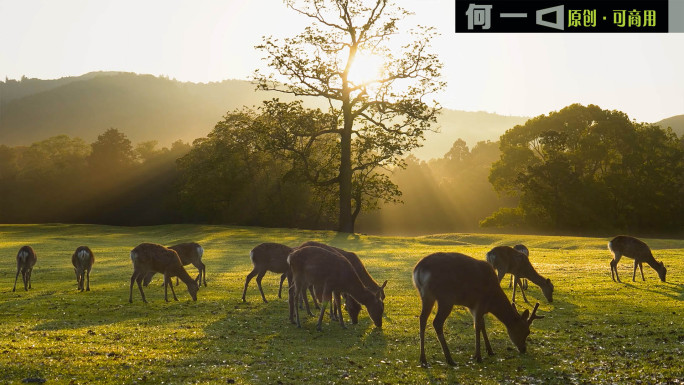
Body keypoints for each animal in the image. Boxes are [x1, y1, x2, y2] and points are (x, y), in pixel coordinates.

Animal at [412, 250, 544, 364]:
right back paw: (450, 359)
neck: (492, 301)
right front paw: (478, 357)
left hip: (425, 295)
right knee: (437, 322)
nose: (523, 349)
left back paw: (423, 359)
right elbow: (477, 326)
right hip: (446, 298)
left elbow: (482, 325)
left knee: (422, 318)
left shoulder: (473, 307)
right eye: (526, 331)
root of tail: (418, 270)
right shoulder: (479, 303)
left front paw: (490, 351)